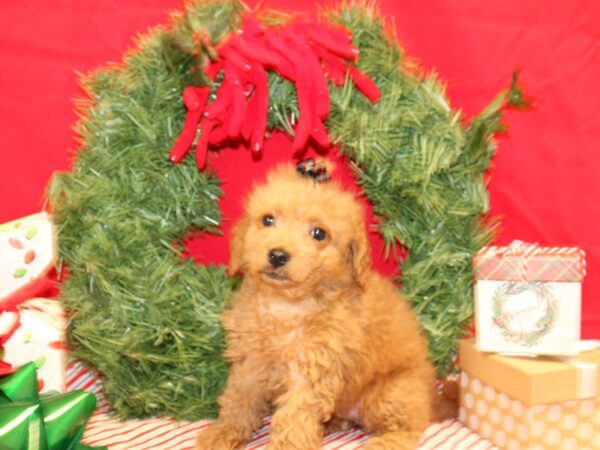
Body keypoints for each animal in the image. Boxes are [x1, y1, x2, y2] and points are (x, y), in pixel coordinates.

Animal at [198, 163, 436, 450]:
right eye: (268, 220)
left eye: (318, 234)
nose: (277, 255)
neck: (287, 304)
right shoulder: (250, 361)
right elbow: (238, 399)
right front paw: (222, 433)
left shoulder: (311, 370)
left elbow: (294, 419)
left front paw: (286, 447)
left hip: (393, 393)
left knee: (408, 428)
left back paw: (382, 442)